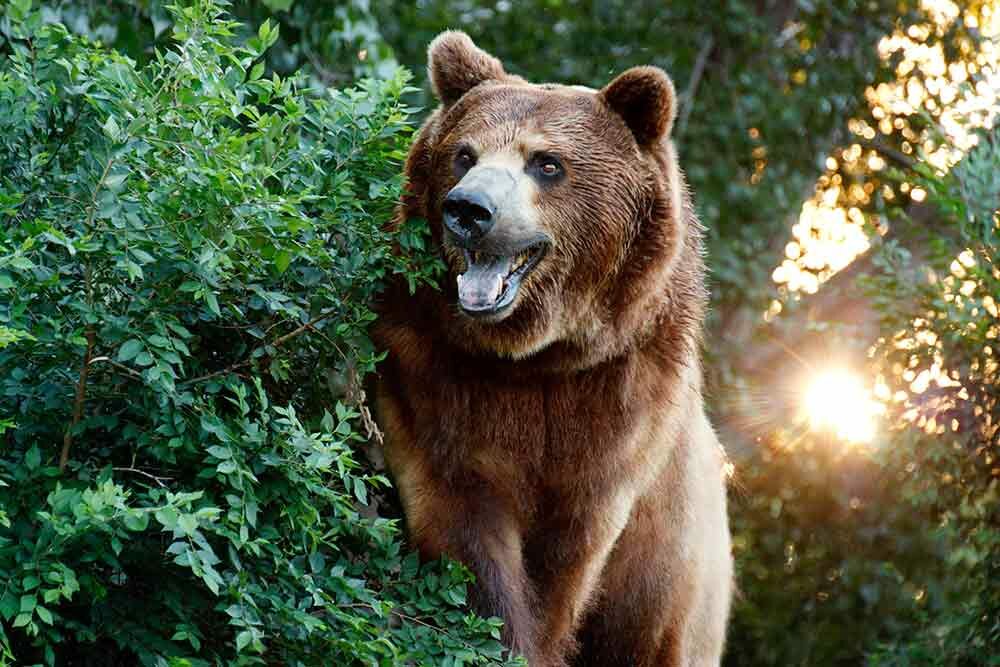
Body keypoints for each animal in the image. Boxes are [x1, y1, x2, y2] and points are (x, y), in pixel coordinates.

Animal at [373, 31, 732, 667]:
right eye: (464, 154)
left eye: (547, 163)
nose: (469, 210)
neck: (539, 355)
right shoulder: (432, 377)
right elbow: (465, 522)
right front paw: (497, 630)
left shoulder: (617, 410)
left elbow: (566, 555)